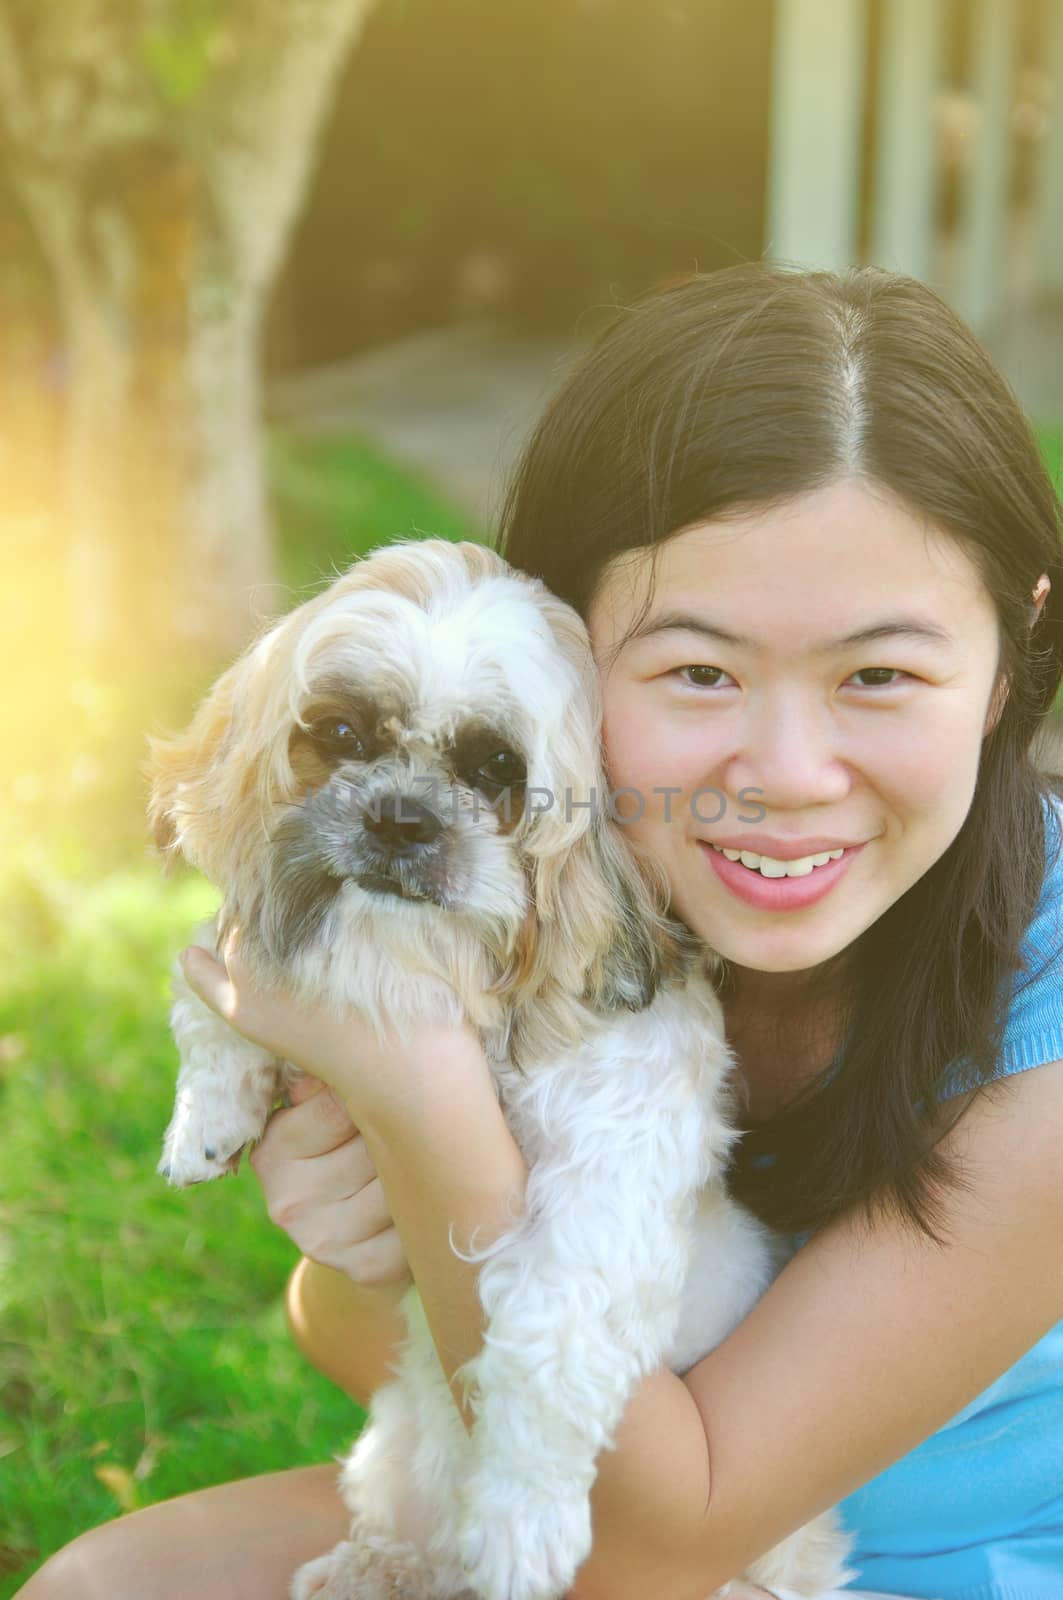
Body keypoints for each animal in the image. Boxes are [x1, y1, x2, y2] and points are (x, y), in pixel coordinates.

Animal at [149, 540, 851, 1600]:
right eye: (341, 733)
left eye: (496, 768)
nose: (401, 818)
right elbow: (206, 982)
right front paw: (209, 1115)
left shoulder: (611, 1170)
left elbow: (550, 1337)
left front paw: (527, 1516)